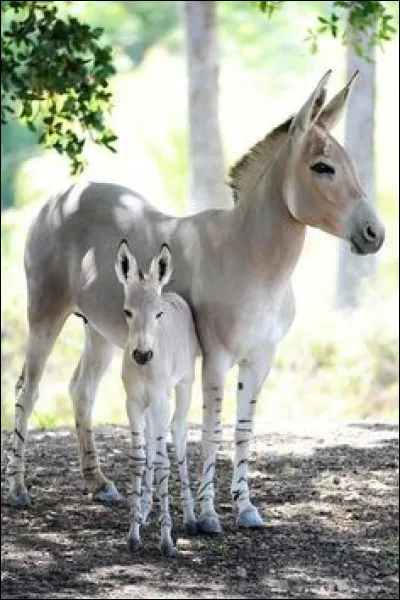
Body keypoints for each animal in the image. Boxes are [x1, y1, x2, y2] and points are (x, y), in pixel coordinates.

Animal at [115, 241, 198, 556]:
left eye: (158, 314)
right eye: (127, 312)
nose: (142, 355)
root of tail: (172, 292)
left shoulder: (162, 398)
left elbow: (163, 462)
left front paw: (166, 540)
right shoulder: (133, 402)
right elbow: (140, 459)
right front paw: (133, 533)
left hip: (184, 387)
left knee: (179, 434)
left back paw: (192, 517)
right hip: (152, 407)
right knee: (153, 439)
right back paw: (145, 508)